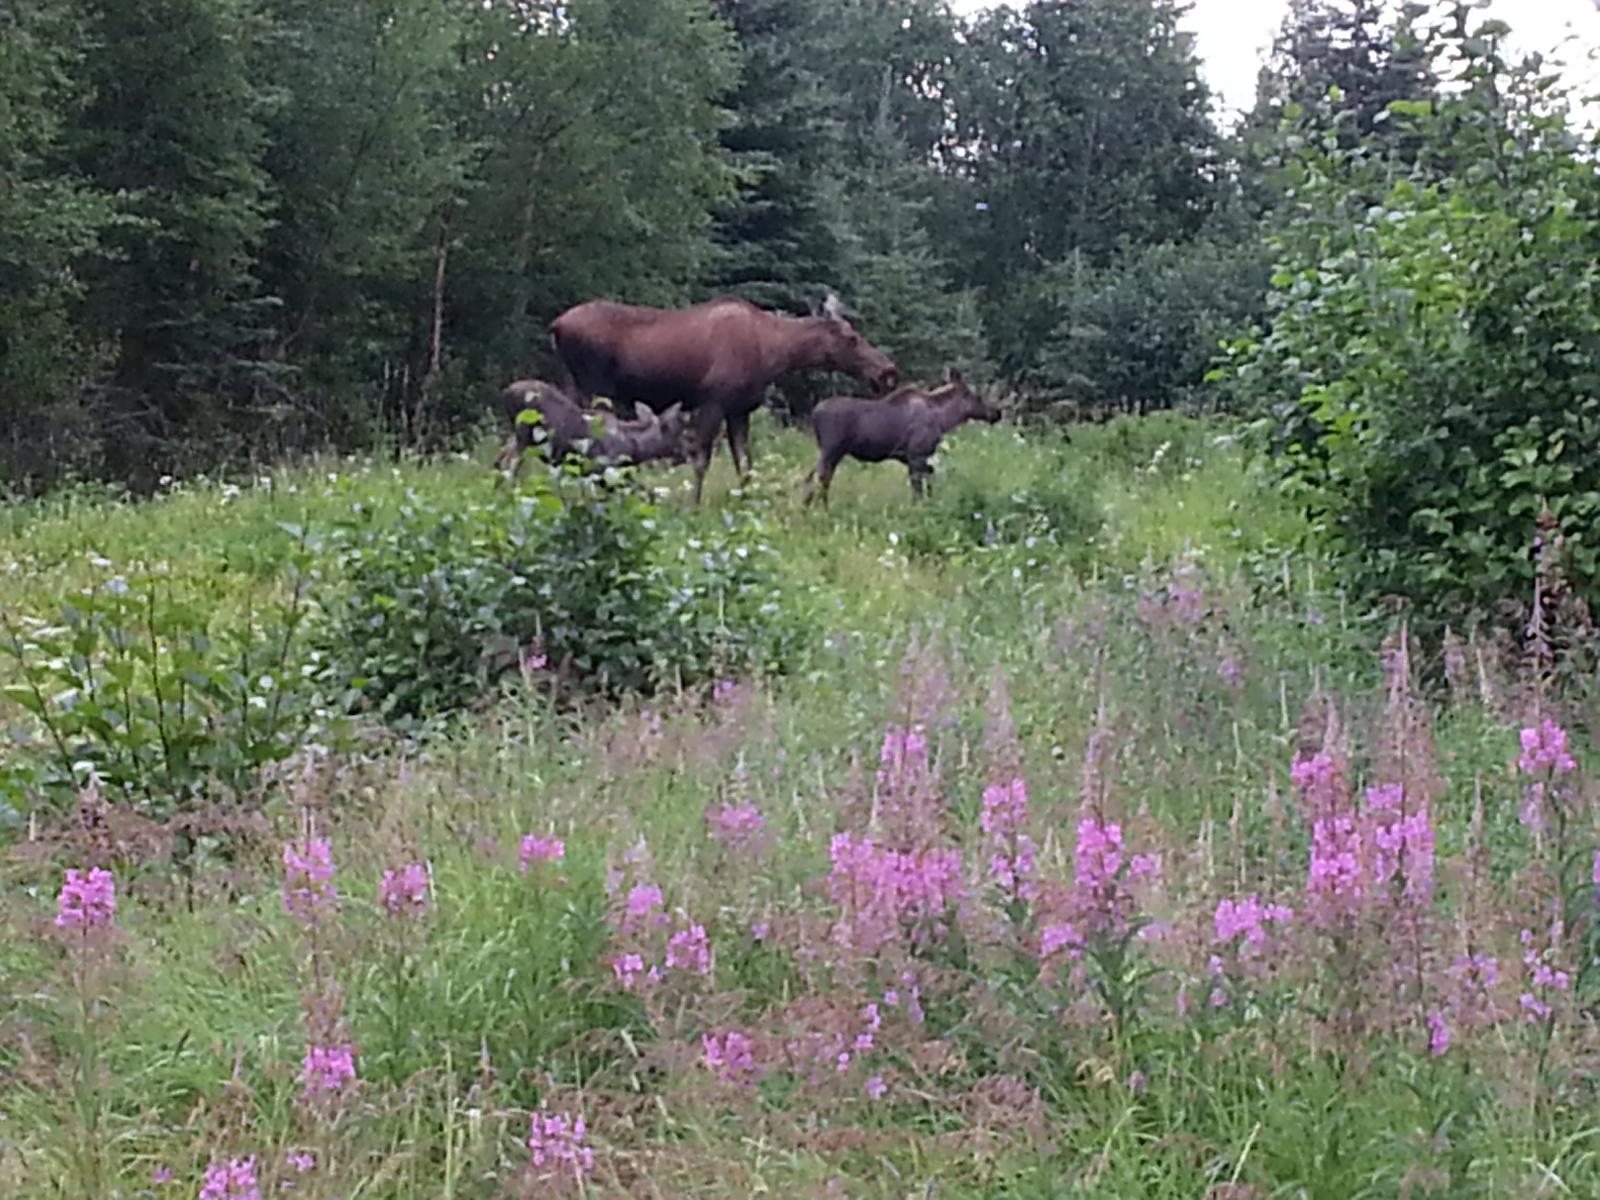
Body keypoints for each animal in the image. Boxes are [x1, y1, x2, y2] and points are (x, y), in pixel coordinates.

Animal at [550, 294, 902, 505]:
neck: (775, 352)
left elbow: (745, 463)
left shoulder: (739, 410)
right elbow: (701, 460)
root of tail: (555, 325)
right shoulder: (713, 402)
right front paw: (692, 505)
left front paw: (747, 502)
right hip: (593, 385)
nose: (888, 372)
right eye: (852, 338)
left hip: (575, 384)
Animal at [800, 361, 998, 502]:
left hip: (827, 450)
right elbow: (918, 487)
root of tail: (814, 414)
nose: (997, 412)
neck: (943, 420)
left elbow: (929, 474)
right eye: (977, 396)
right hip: (832, 449)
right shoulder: (916, 454)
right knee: (822, 478)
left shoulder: (909, 457)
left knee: (811, 477)